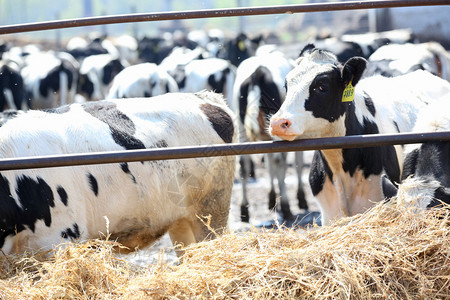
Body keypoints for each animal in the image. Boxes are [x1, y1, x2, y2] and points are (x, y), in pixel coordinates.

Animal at [232, 49, 310, 223]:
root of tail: (257, 73)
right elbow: (297, 163)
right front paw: (301, 199)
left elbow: (268, 163)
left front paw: (272, 199)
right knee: (279, 161)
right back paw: (287, 208)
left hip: (242, 127)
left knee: (243, 164)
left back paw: (244, 210)